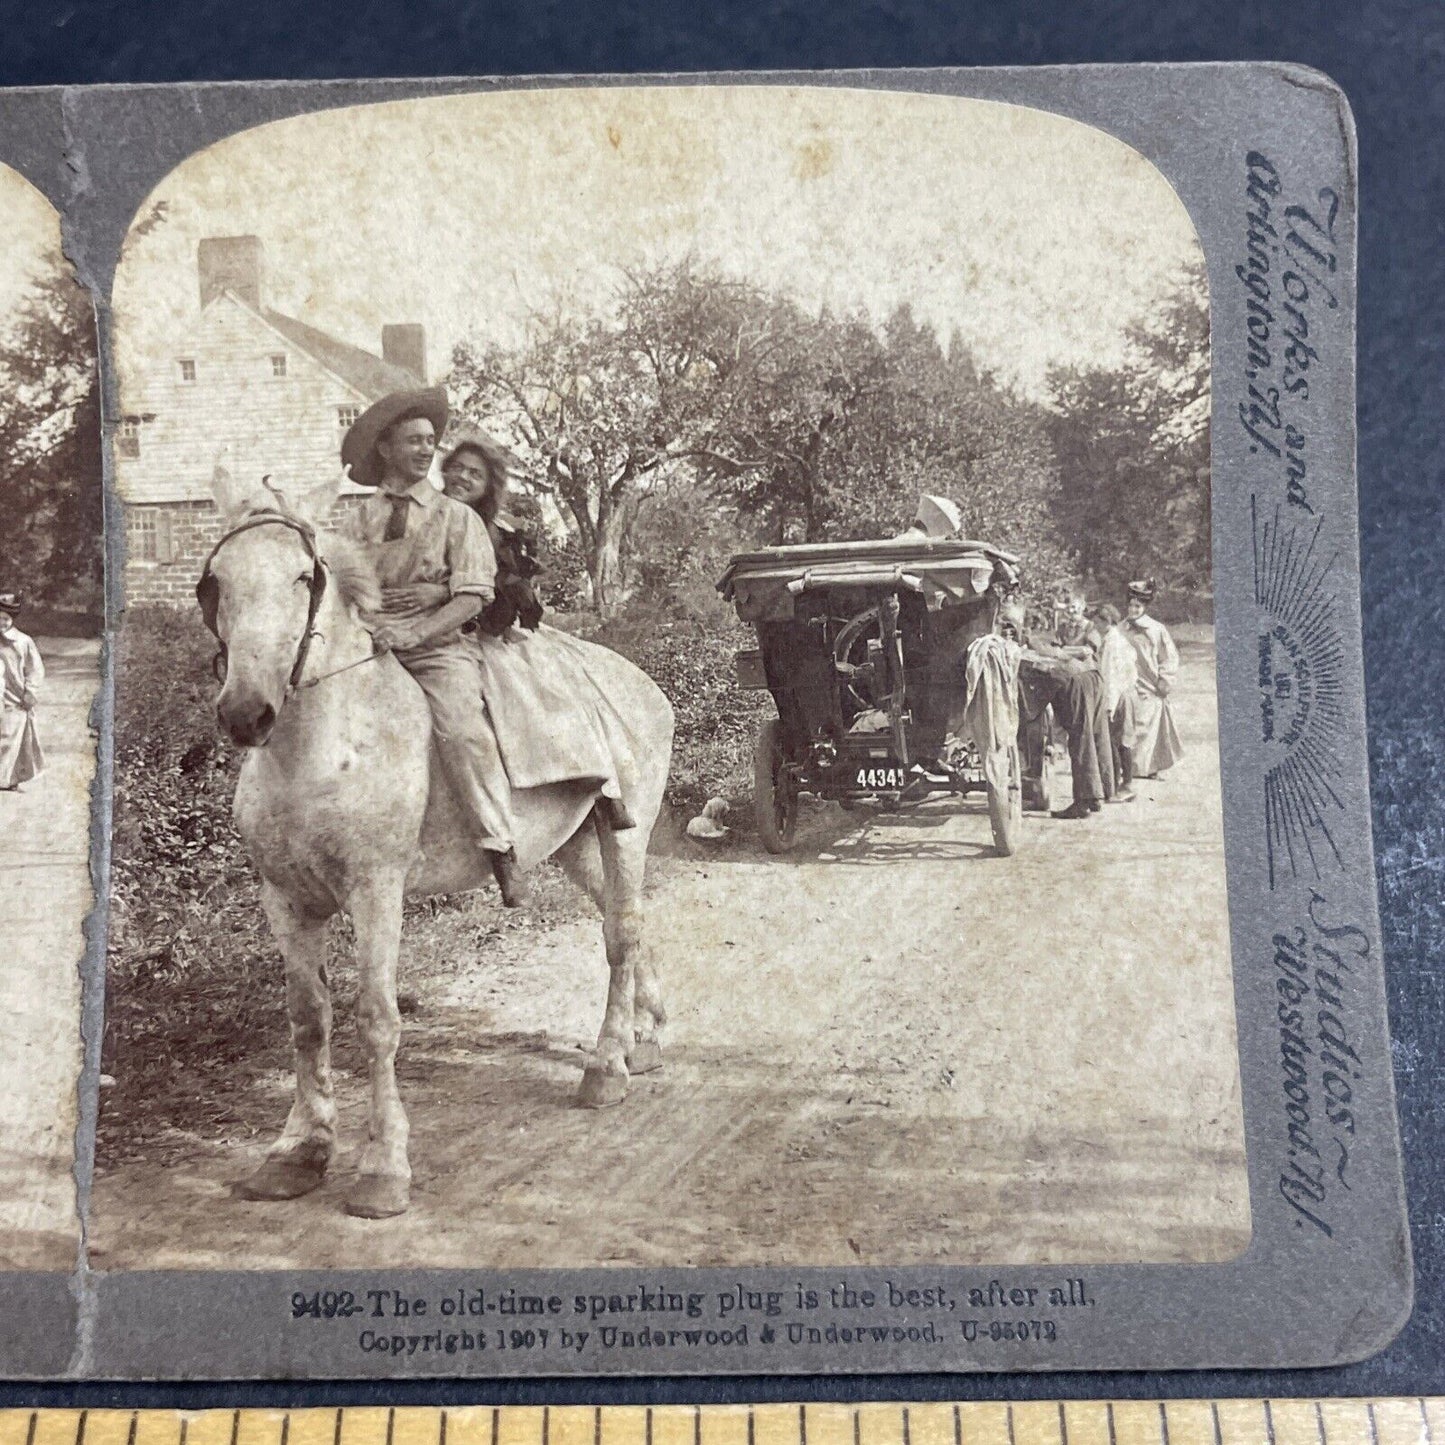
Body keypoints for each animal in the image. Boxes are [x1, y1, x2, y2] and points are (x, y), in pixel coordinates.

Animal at [197, 468, 676, 1213]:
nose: (247, 712)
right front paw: (297, 1150)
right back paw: (643, 1039)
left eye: (305, 576)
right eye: (217, 580)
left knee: (621, 934)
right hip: (575, 843)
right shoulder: (285, 900)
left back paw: (606, 1069)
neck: (318, 751)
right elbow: (307, 1019)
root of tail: (640, 682)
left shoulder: (376, 892)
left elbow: (376, 1018)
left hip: (628, 833)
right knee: (625, 922)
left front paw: (382, 1168)